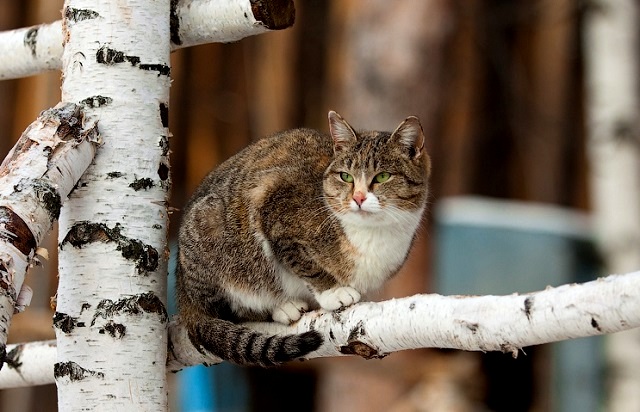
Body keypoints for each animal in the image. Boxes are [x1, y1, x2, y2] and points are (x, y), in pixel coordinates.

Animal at [176, 110, 430, 366]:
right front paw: (333, 292)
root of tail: (181, 284)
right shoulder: (273, 210)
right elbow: (305, 263)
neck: (372, 233)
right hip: (211, 227)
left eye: (383, 176)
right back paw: (282, 307)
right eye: (346, 177)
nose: (358, 197)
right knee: (228, 307)